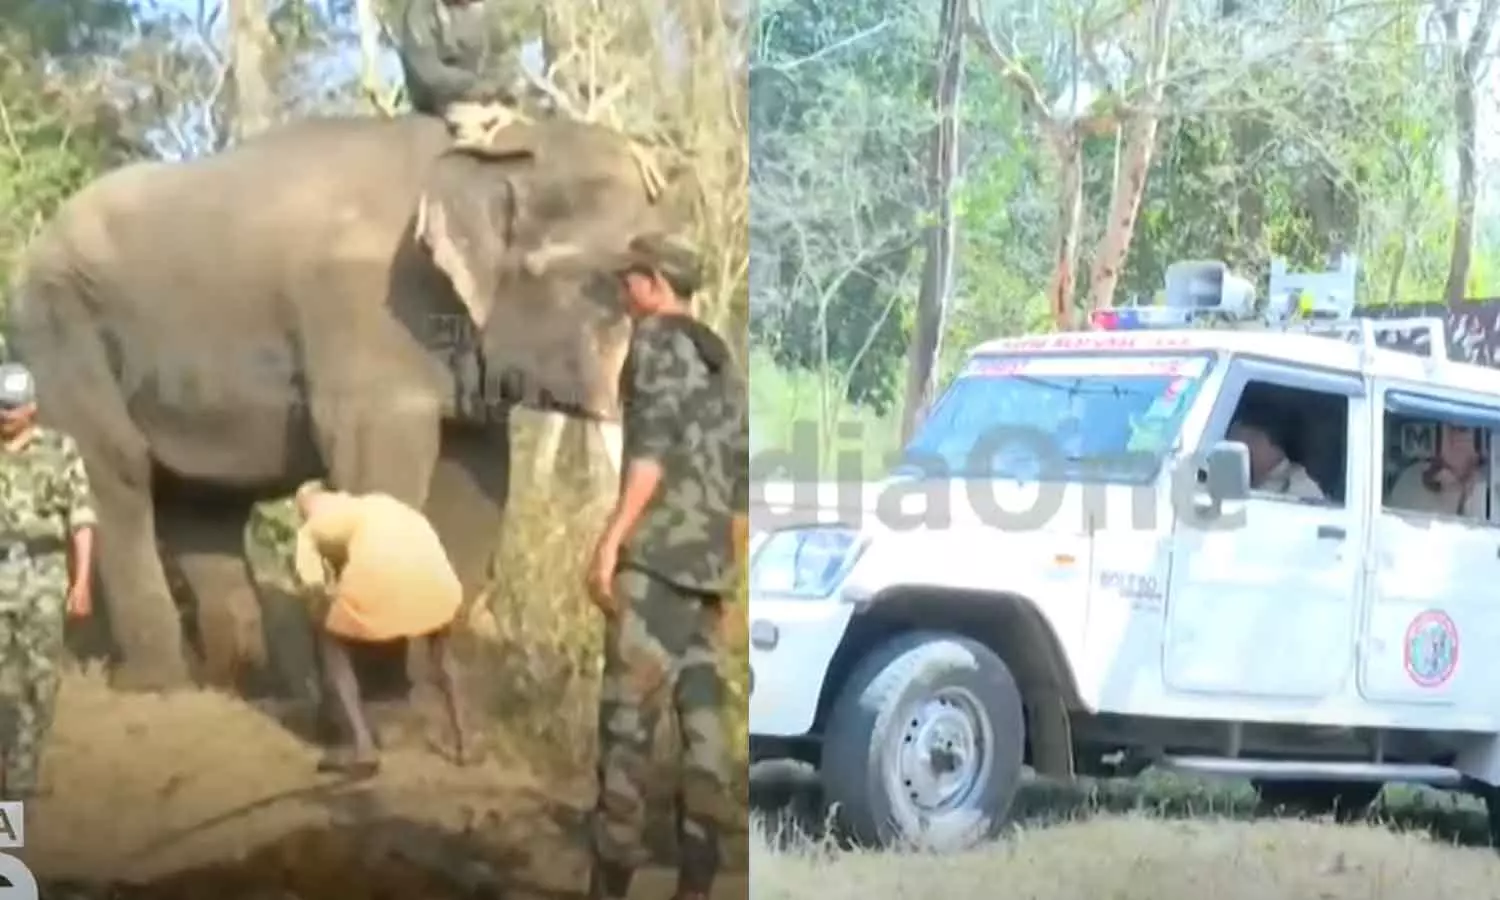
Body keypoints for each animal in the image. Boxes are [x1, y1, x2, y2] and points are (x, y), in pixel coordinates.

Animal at [7, 112, 677, 693]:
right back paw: (153, 685)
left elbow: (476, 481)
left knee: (203, 505)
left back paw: (244, 683)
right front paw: (386, 692)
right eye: (623, 280)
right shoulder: (367, 309)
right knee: (115, 470)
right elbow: (380, 467)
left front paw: (421, 696)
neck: (492, 147)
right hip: (60, 324)